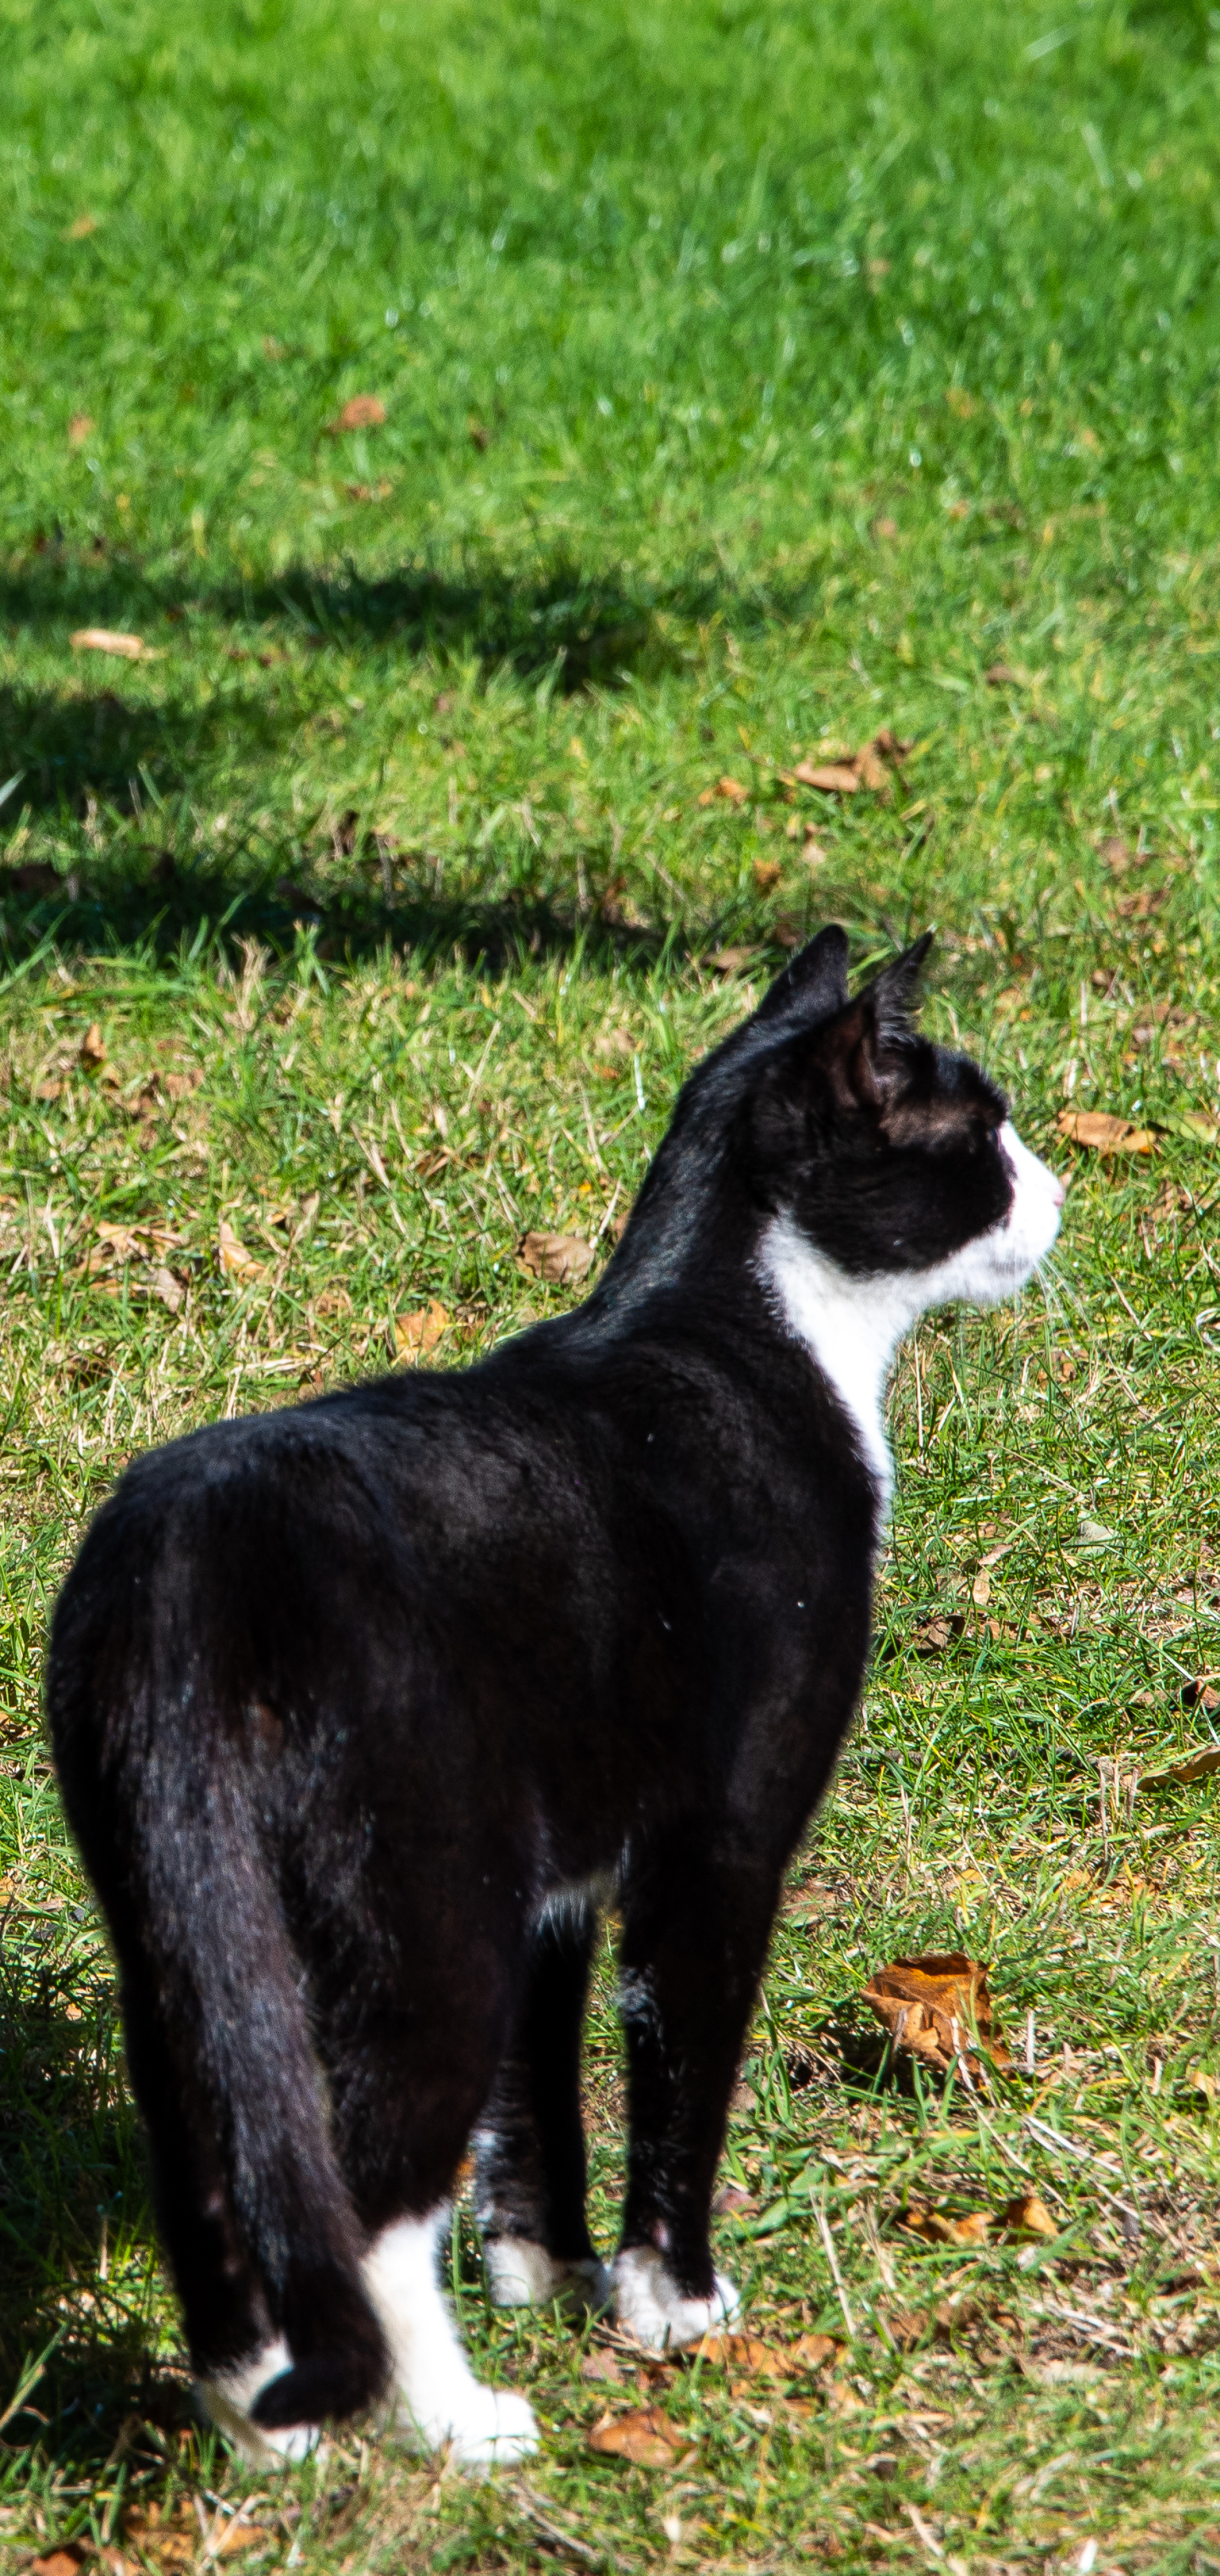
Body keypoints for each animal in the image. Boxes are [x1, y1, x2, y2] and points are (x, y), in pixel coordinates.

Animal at [45, 917, 1060, 2462]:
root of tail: (196, 1562)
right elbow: (679, 2059)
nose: (1058, 1188)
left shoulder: (556, 1879)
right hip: (428, 1901)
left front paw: (547, 2275)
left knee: (218, 2158)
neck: (752, 1336)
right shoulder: (719, 1837)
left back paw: (269, 2433)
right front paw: (672, 2303)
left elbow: (537, 2094)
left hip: (179, 1923)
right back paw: (454, 2426)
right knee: (372, 2184)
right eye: (983, 1136)